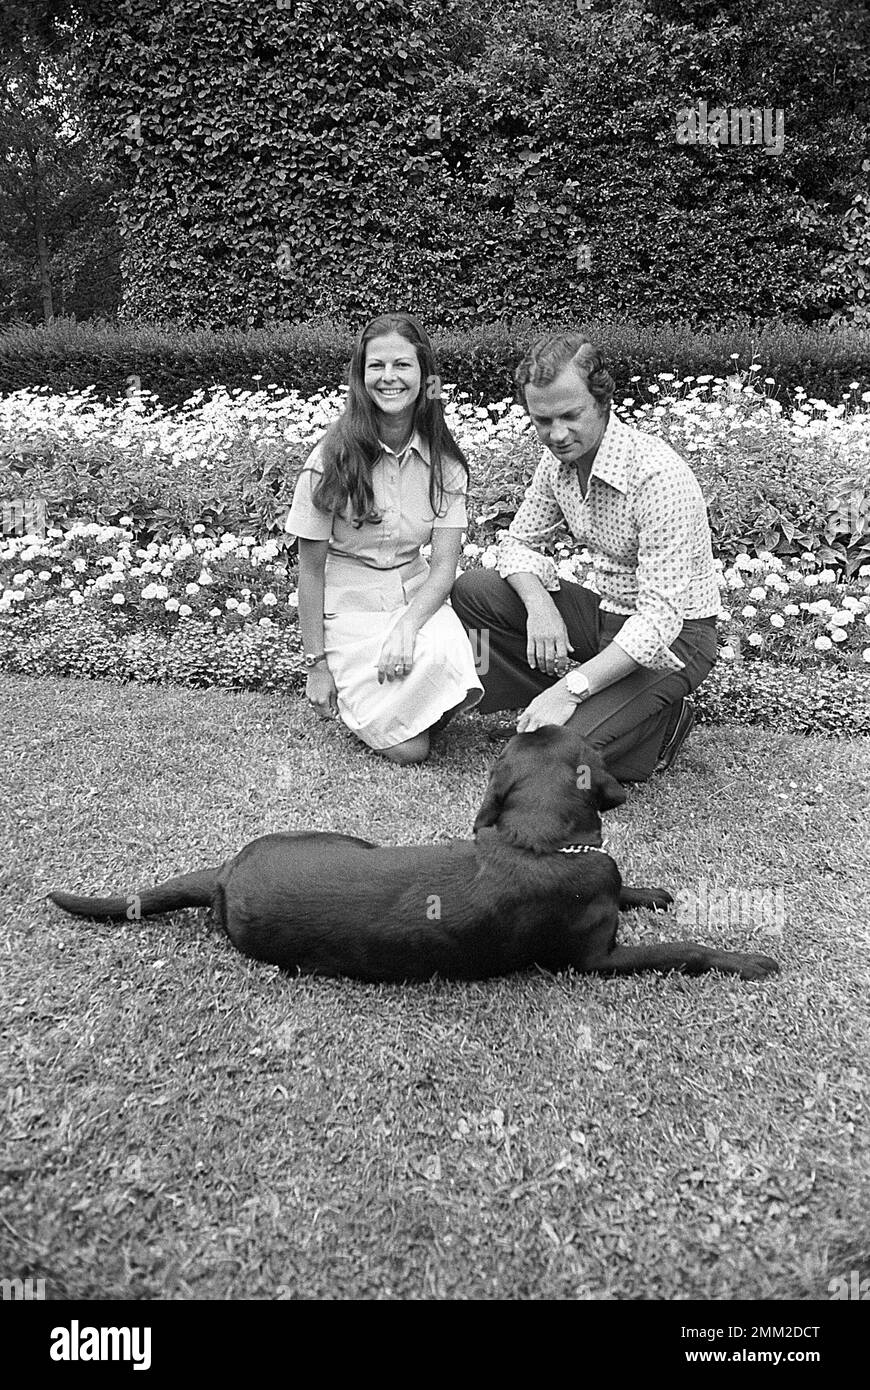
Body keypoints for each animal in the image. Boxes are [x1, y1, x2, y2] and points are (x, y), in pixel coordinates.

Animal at [47, 722, 778, 984]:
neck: (540, 842)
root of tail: (225, 875)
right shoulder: (596, 961)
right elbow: (685, 949)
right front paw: (746, 960)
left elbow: (629, 888)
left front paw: (650, 892)